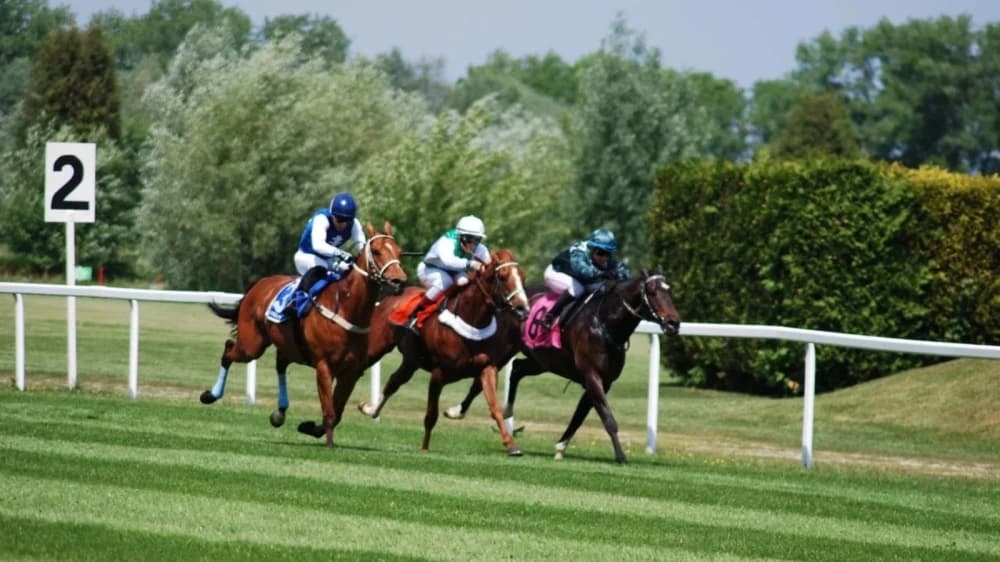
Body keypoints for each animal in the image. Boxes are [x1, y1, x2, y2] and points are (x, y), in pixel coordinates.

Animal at [200, 222, 407, 448]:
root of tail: (259, 284)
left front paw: (310, 428)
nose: (400, 281)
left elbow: (338, 411)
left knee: (280, 364)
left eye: (399, 251)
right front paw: (329, 444)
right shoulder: (324, 366)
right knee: (229, 349)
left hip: (287, 346)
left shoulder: (351, 371)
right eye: (377, 251)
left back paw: (279, 412)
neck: (345, 307)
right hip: (251, 345)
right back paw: (211, 395)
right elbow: (330, 412)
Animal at [357, 249, 530, 455]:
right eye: (503, 277)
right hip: (375, 348)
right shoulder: (438, 373)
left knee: (394, 381)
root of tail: (389, 298)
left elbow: (494, 406)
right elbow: (431, 414)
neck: (471, 322)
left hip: (411, 361)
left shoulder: (487, 367)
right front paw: (424, 448)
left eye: (522, 277)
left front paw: (511, 445)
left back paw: (371, 409)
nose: (523, 308)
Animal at [449, 267, 680, 464]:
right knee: (482, 379)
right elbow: (608, 418)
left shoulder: (602, 381)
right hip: (504, 350)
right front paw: (621, 456)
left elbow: (580, 415)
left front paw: (561, 447)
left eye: (670, 291)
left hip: (542, 360)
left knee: (517, 369)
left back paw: (506, 410)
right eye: (652, 291)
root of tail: (507, 302)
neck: (604, 323)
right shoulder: (592, 375)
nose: (674, 323)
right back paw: (457, 410)